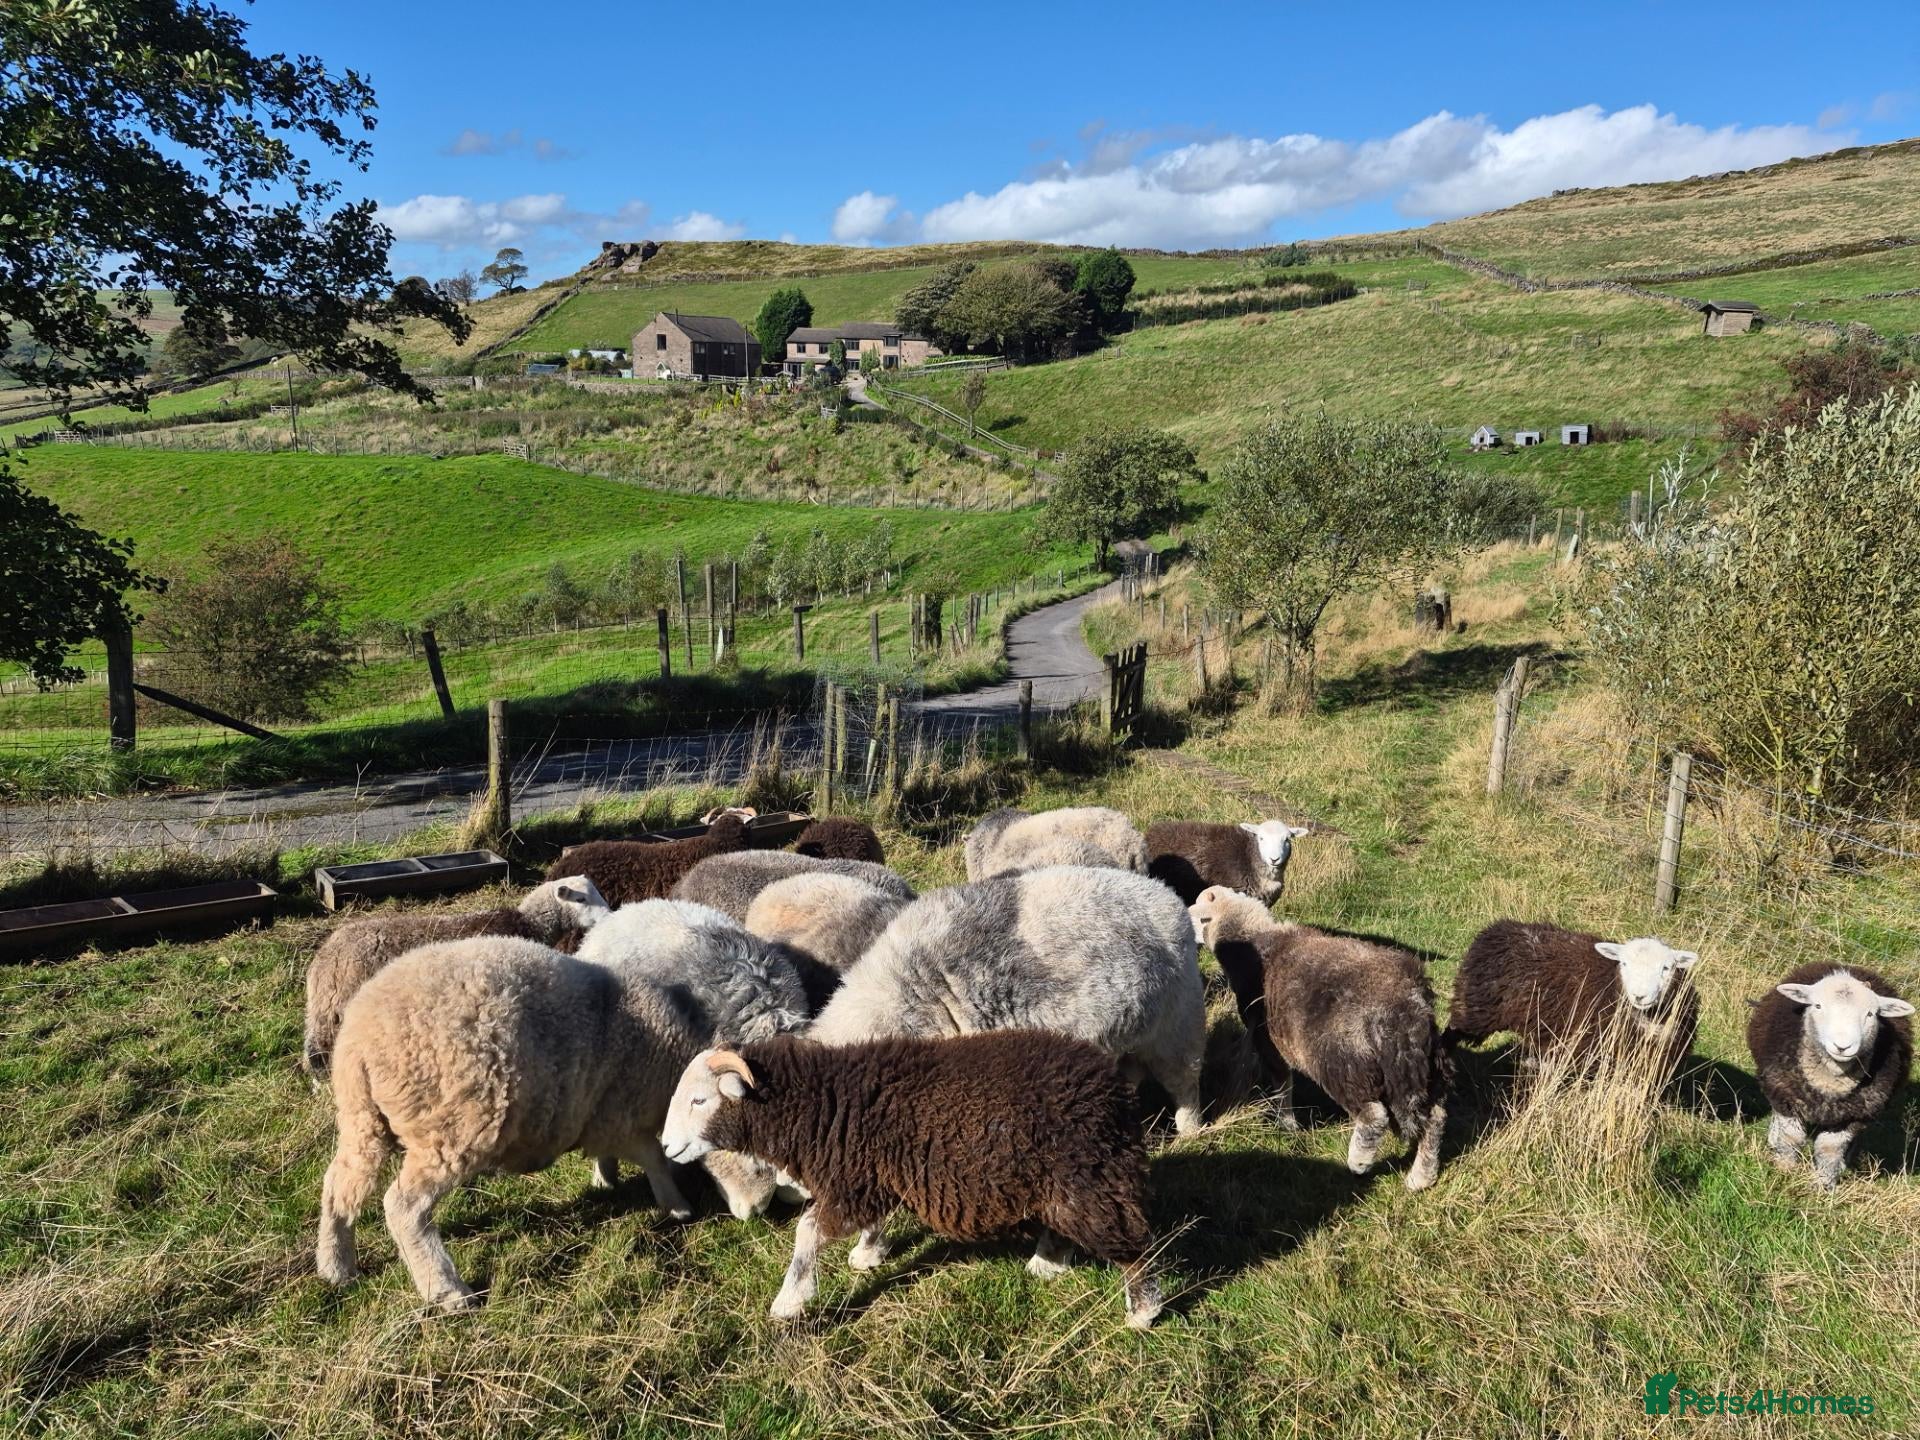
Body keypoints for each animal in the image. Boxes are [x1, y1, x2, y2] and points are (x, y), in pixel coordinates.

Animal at [315, 911, 808, 1310]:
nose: (756, 1214)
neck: (674, 1045)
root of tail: (359, 1039)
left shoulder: (607, 1110)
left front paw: (618, 1182)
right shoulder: (622, 1110)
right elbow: (652, 1156)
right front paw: (677, 1206)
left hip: (363, 1121)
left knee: (338, 1185)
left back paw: (337, 1266)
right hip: (451, 1130)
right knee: (403, 1206)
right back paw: (447, 1290)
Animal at [660, 1032, 1164, 1327]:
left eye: (700, 1101)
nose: (666, 1146)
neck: (823, 1101)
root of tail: (1114, 1090)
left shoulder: (852, 1182)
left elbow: (806, 1232)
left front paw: (789, 1302)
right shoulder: (869, 1176)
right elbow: (870, 1221)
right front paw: (868, 1253)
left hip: (1087, 1176)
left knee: (1133, 1244)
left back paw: (1143, 1311)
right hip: (1062, 1181)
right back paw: (1048, 1262)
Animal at [1189, 886, 1450, 1188]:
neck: (1257, 938)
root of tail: (1404, 1007)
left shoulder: (1269, 1043)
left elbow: (1282, 1085)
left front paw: (1287, 1125)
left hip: (1343, 1062)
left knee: (1374, 1114)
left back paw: (1359, 1161)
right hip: (1419, 1068)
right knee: (1435, 1117)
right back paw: (1422, 1176)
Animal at [1442, 920, 1700, 1083]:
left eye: (1666, 967)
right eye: (1624, 964)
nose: (1640, 995)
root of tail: (1499, 927)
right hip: (1474, 1006)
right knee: (1452, 1031)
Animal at [1747, 963, 1913, 1189]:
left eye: (1870, 1014)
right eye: (1817, 1006)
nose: (1842, 1046)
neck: (1829, 1084)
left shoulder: (1852, 1115)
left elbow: (1829, 1150)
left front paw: (1823, 1186)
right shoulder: (1787, 1096)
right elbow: (1791, 1137)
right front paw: (1784, 1171)